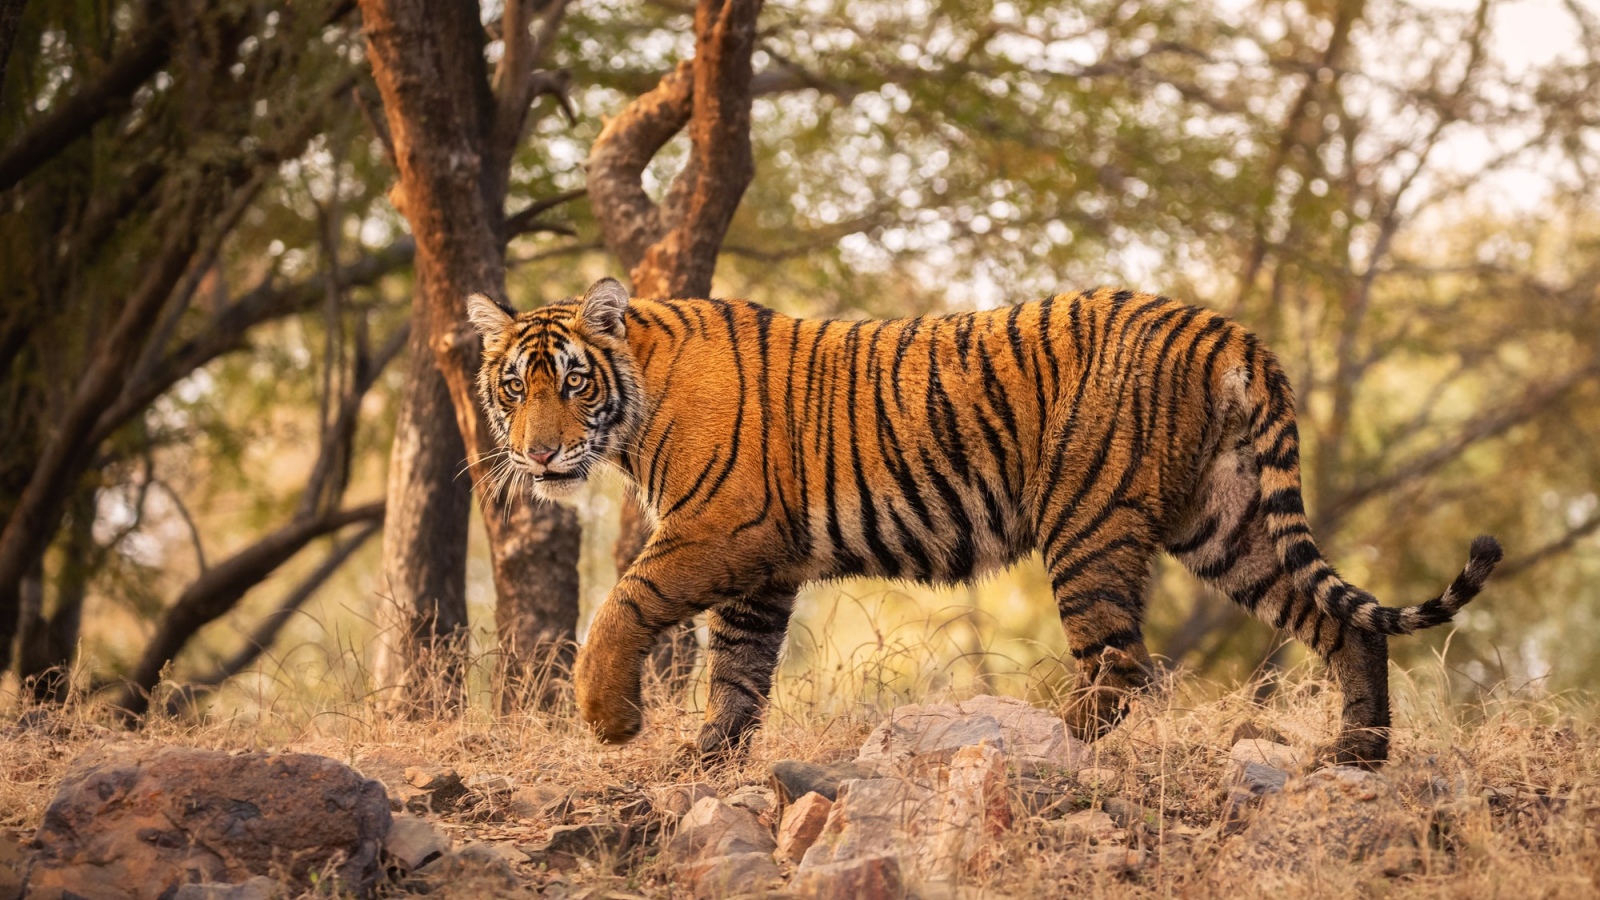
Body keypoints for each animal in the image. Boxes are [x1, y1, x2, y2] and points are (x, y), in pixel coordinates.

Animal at [466, 277, 1503, 768]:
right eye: (514, 388)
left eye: (572, 383)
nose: (539, 455)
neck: (633, 407)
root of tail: (1228, 330)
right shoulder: (765, 567)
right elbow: (738, 675)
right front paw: (704, 759)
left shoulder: (724, 528)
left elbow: (625, 601)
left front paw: (610, 720)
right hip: (1230, 523)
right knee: (1342, 626)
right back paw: (1357, 755)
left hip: (1088, 521)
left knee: (1120, 666)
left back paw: (1040, 743)